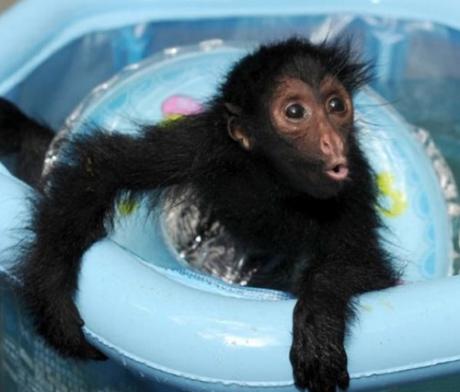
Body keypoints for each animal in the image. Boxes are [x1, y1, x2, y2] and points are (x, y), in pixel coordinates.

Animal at [0, 37, 398, 392]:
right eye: (296, 112)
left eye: (336, 105)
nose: (332, 141)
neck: (274, 182)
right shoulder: (200, 145)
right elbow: (101, 170)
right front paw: (51, 294)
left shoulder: (354, 185)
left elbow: (371, 269)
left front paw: (318, 319)